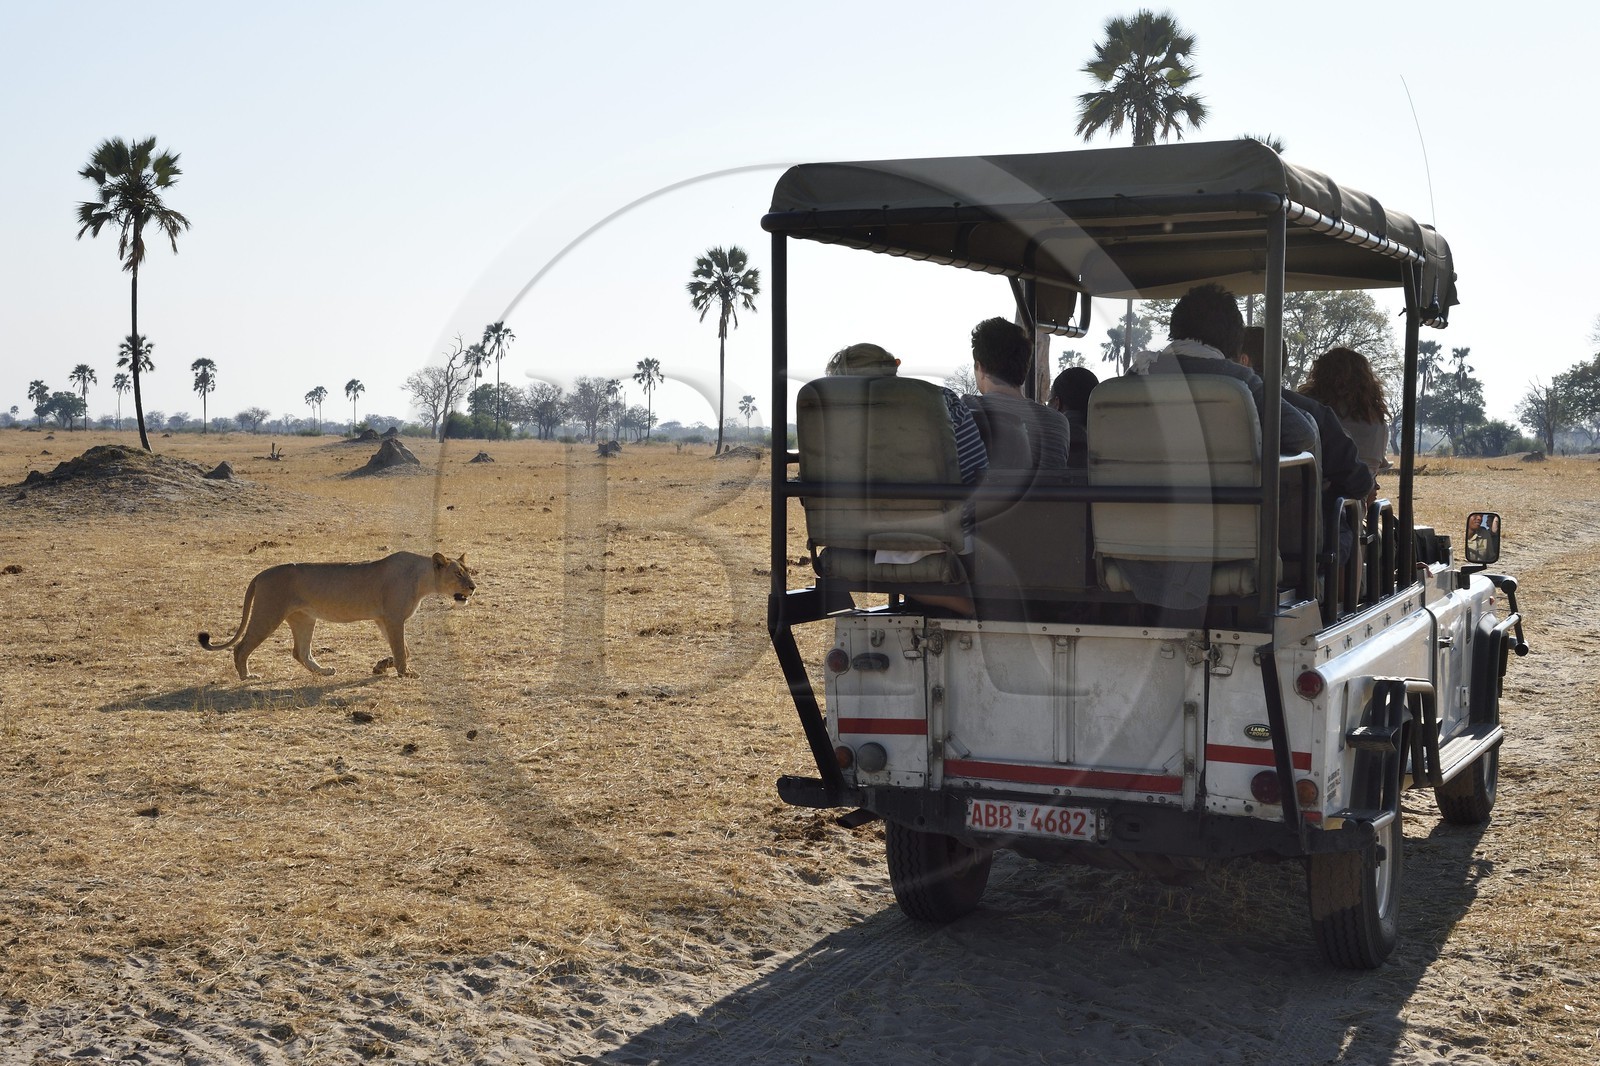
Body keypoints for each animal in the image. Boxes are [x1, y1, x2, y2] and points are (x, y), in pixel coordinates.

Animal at [199, 551, 475, 680]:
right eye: (458, 573)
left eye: (468, 571)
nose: (473, 587)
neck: (422, 578)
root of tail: (260, 574)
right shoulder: (394, 618)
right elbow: (401, 649)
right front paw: (405, 673)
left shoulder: (382, 619)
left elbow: (403, 649)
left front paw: (381, 666)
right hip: (269, 613)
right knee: (241, 647)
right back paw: (247, 676)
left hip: (304, 618)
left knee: (300, 652)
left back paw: (324, 671)